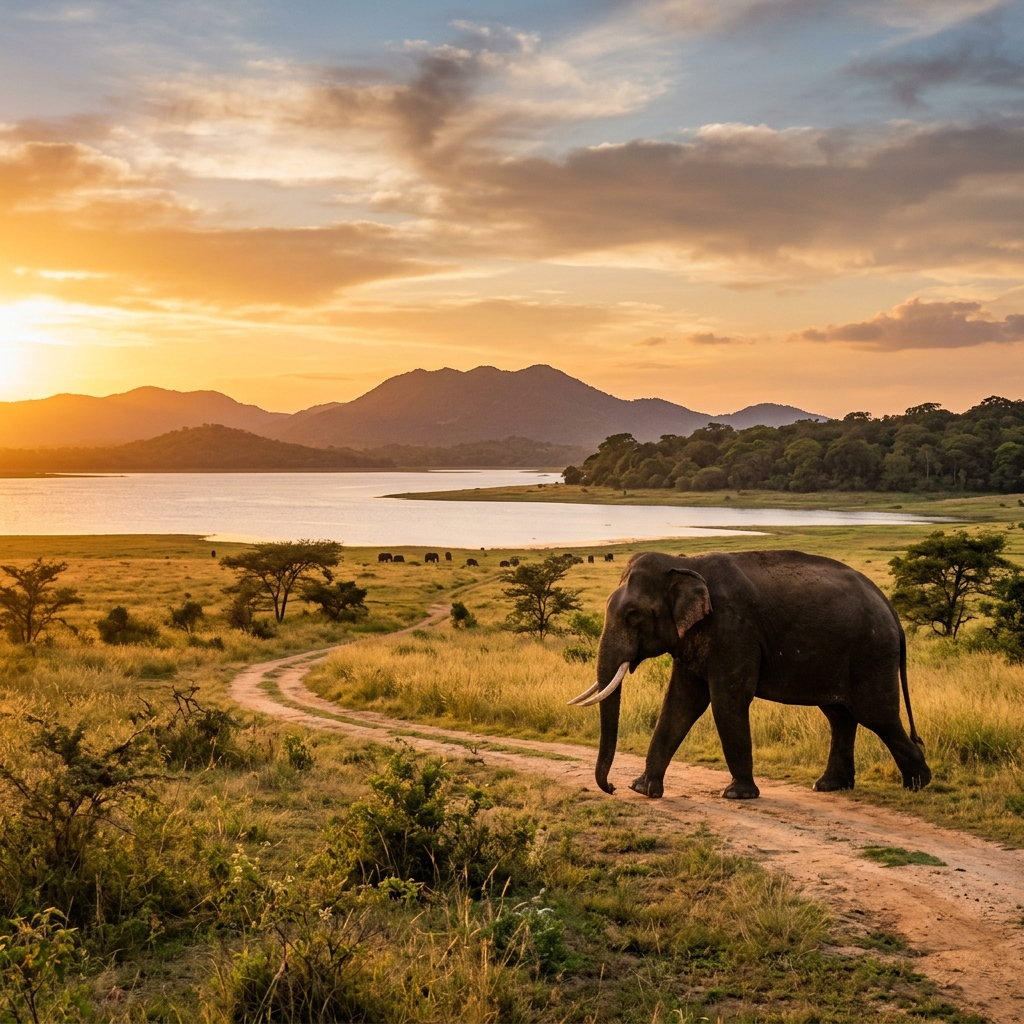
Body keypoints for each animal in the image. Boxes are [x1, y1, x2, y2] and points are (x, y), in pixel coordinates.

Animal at [568, 550, 930, 801]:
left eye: (633, 616)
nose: (611, 787)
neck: (685, 562)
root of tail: (892, 611)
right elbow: (680, 703)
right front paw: (642, 789)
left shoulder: (733, 630)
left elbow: (727, 701)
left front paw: (737, 795)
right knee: (840, 716)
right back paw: (829, 786)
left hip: (871, 653)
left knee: (877, 715)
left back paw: (918, 784)